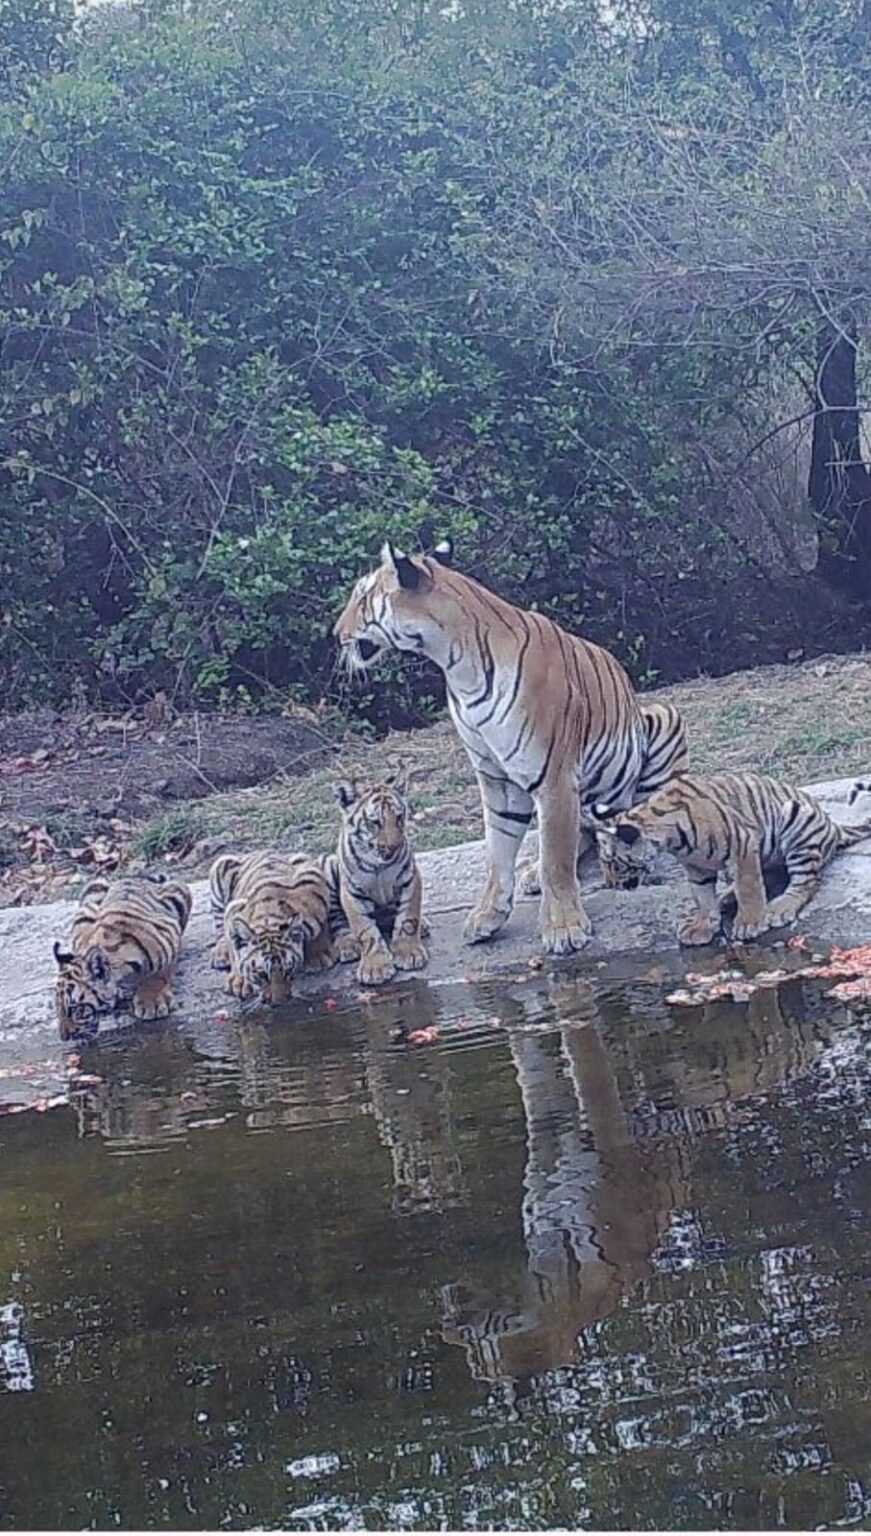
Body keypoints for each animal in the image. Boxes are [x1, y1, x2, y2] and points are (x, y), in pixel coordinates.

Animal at [53, 872, 192, 1040]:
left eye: (75, 1009)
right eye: (57, 1007)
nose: (63, 1037)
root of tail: (136, 878)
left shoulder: (170, 932)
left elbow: (159, 973)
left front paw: (152, 1002)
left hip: (178, 891)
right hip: (92, 890)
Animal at [209, 849, 334, 1004]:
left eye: (288, 970)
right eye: (261, 974)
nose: (278, 1002)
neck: (268, 918)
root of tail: (258, 851)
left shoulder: (313, 881)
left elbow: (321, 925)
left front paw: (319, 955)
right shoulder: (232, 910)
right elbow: (235, 949)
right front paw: (240, 981)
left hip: (303, 858)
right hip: (221, 865)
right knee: (220, 929)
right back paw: (220, 953)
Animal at [323, 776, 429, 986]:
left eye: (399, 817)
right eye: (375, 822)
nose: (395, 847)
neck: (378, 863)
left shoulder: (410, 878)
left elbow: (408, 918)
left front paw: (409, 953)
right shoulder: (352, 892)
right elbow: (365, 930)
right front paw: (375, 968)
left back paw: (423, 925)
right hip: (328, 869)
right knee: (338, 922)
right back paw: (348, 945)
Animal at [591, 771, 871, 946]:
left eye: (612, 863)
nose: (609, 885)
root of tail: (833, 825)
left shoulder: (743, 844)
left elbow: (749, 887)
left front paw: (748, 924)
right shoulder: (696, 866)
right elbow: (703, 897)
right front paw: (701, 927)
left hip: (796, 819)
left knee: (805, 882)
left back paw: (779, 908)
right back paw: (725, 897)